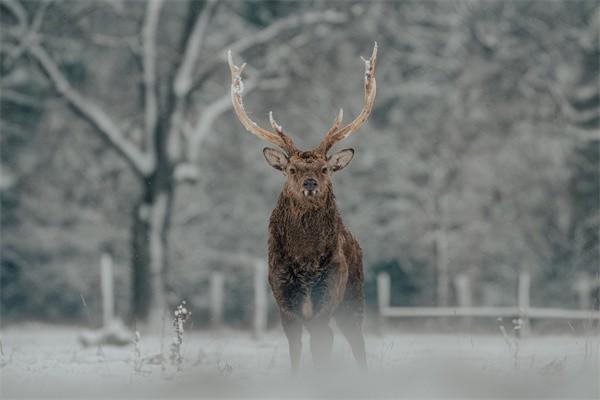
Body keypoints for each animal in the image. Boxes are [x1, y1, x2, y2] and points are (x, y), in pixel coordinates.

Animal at [227, 42, 378, 374]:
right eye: (292, 169)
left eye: (325, 168)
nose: (310, 183)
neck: (305, 261)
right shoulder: (284, 301)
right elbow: (296, 351)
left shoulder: (327, 294)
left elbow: (323, 346)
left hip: (354, 295)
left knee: (356, 340)